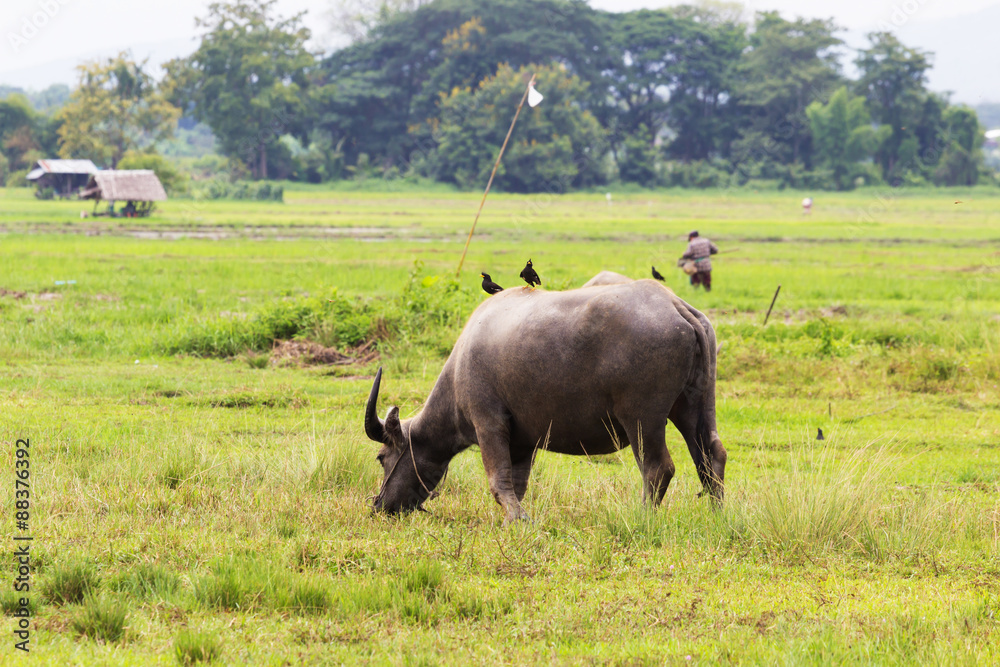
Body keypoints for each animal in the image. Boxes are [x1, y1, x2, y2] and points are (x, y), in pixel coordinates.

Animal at [364, 278, 726, 522]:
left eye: (382, 458)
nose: (380, 506)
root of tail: (677, 306)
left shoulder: (488, 423)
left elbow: (498, 481)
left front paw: (517, 520)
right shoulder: (523, 441)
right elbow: (517, 482)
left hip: (642, 417)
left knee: (657, 467)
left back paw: (642, 517)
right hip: (694, 406)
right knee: (711, 456)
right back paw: (717, 513)